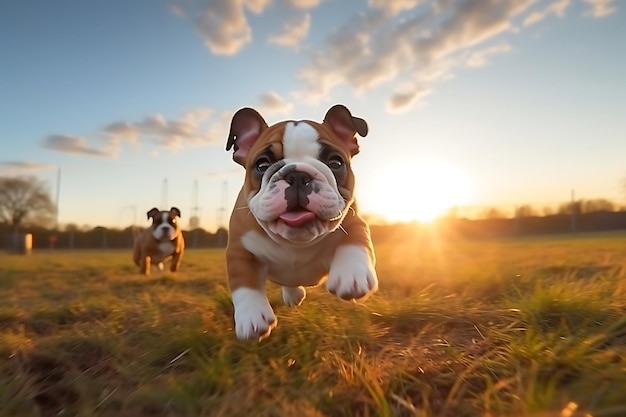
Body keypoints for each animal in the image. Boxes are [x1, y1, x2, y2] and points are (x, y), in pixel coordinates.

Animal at [223, 105, 376, 342]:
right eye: (262, 165)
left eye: (336, 163)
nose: (297, 176)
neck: (295, 242)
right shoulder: (240, 249)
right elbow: (243, 281)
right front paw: (252, 317)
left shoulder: (354, 221)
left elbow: (356, 241)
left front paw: (352, 275)